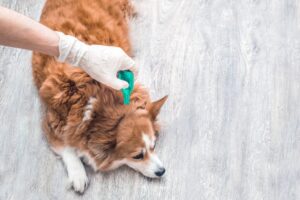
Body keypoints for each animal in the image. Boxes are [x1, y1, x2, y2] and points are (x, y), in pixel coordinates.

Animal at [32, 0, 169, 193]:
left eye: (154, 146)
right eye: (137, 156)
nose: (162, 171)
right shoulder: (51, 122)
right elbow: (67, 148)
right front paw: (78, 175)